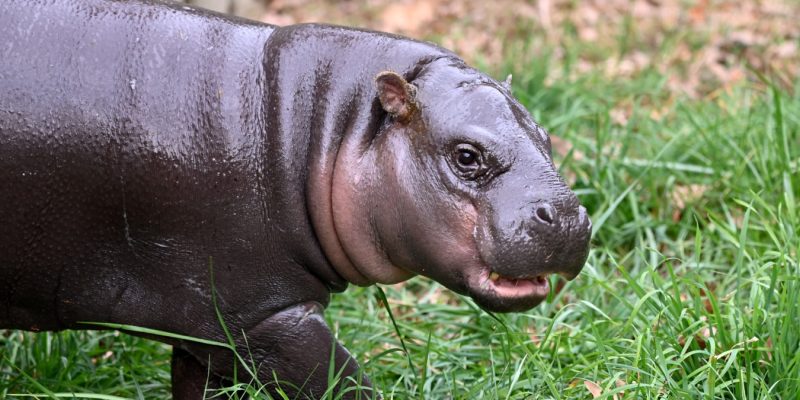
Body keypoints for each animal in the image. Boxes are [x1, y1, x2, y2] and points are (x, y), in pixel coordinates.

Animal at [0, 0, 592, 398]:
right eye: (466, 156)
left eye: (546, 136)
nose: (567, 217)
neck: (316, 130)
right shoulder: (262, 316)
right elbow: (341, 385)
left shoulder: (209, 327)